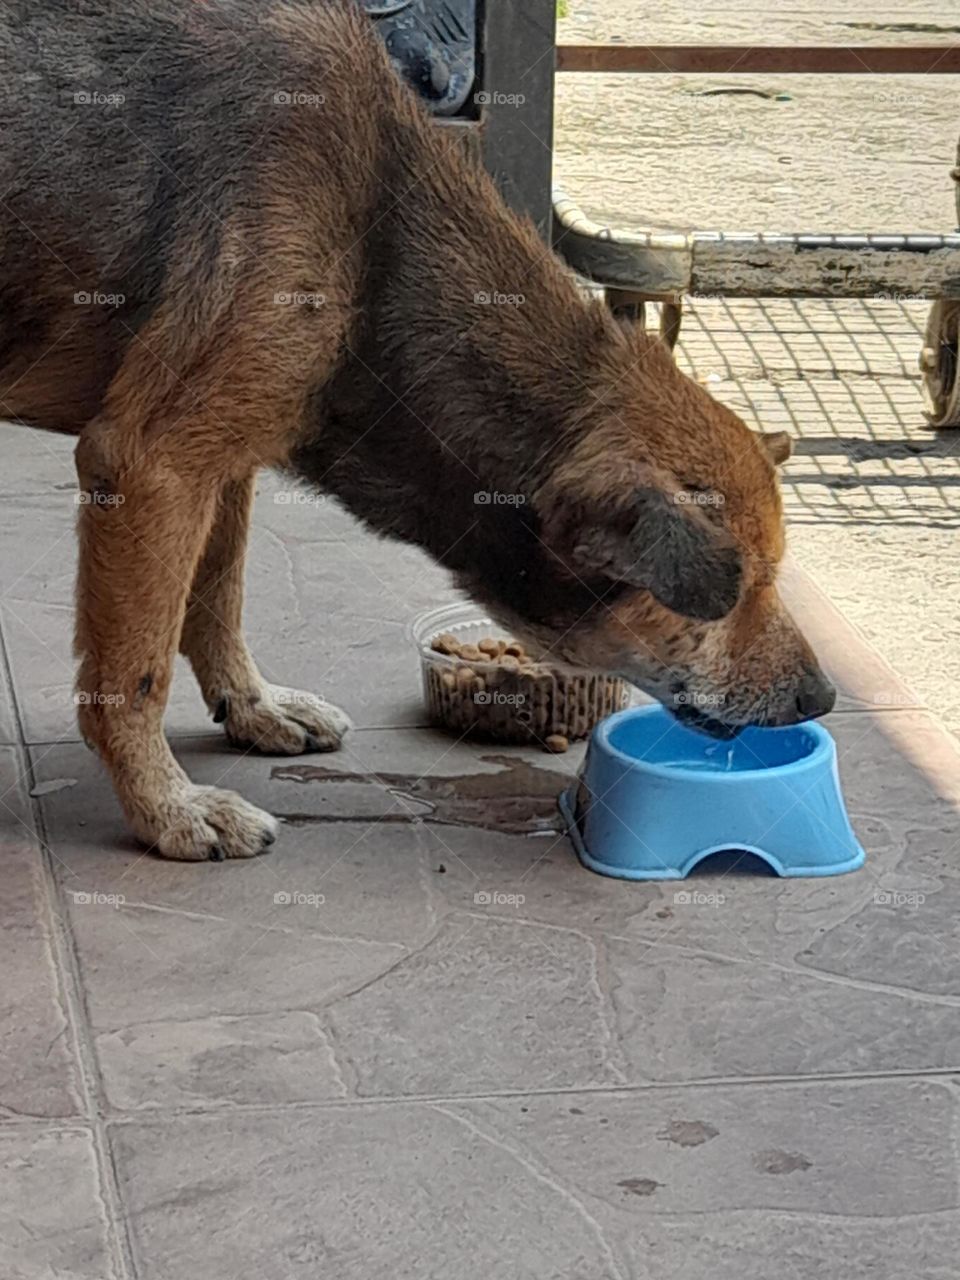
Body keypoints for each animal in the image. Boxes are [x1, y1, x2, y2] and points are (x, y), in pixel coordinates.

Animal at [0, 2, 834, 860]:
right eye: (745, 586)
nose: (824, 696)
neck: (378, 233)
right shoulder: (152, 463)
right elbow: (135, 673)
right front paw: (166, 808)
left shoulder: (224, 456)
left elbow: (218, 597)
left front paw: (251, 705)